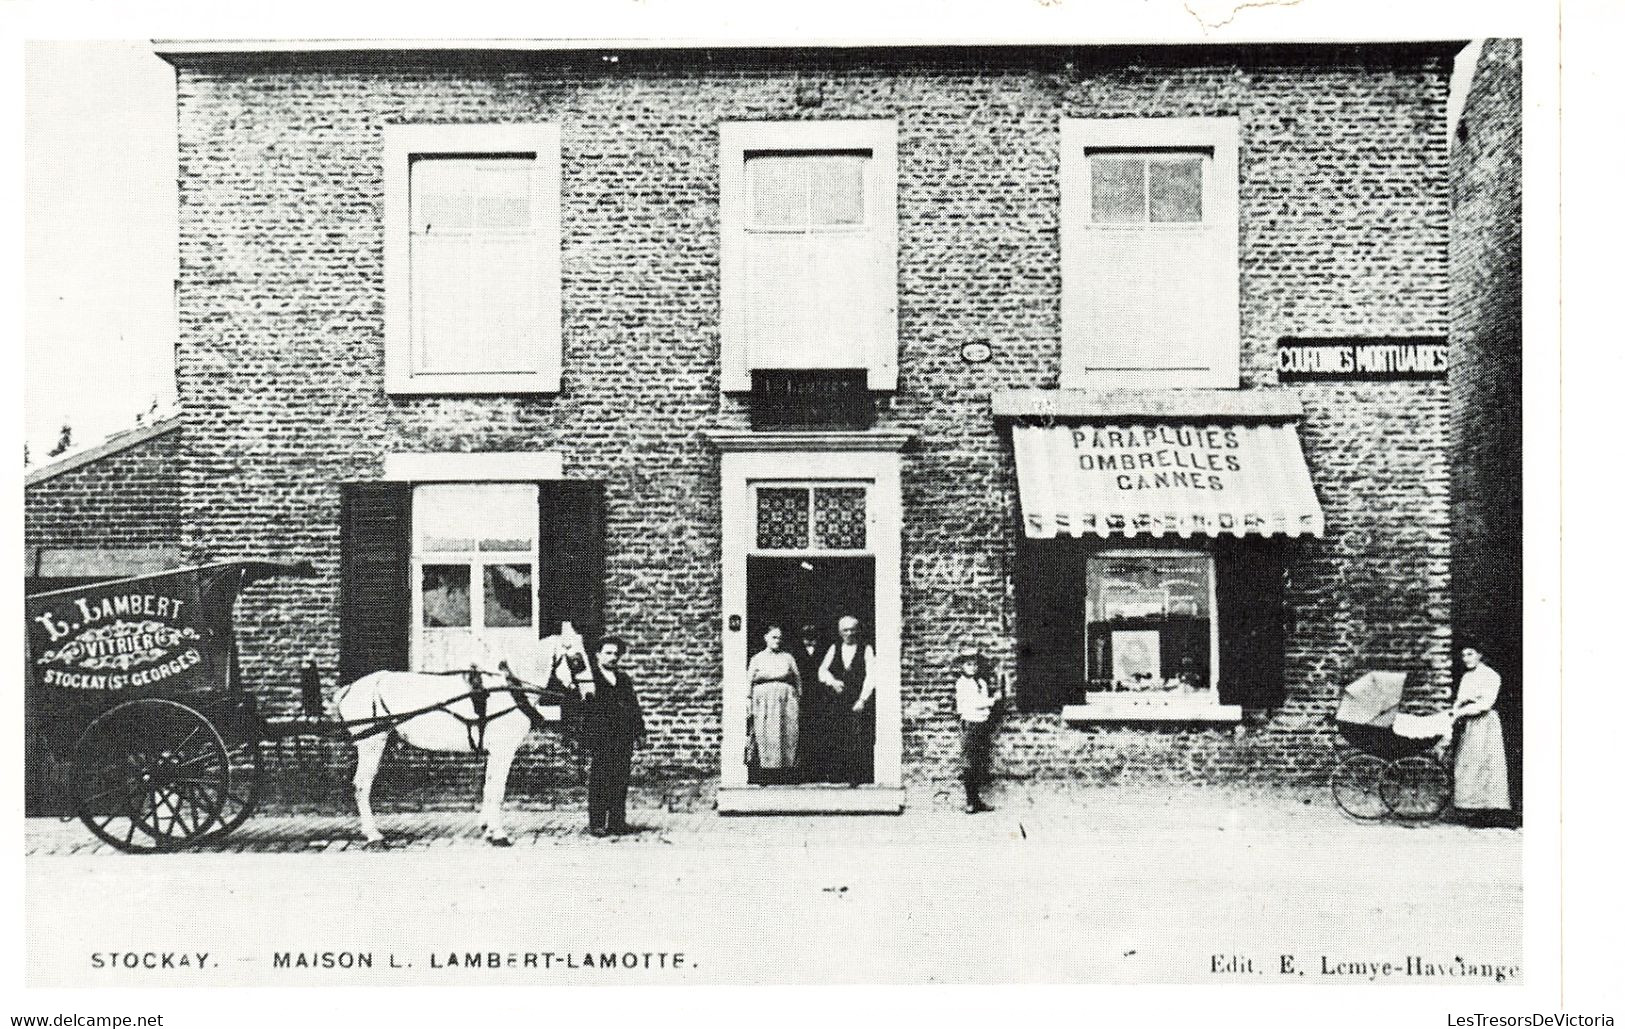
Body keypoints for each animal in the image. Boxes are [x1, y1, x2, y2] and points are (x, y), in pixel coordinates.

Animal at [333, 617, 594, 845]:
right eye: (578, 660)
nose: (591, 695)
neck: (509, 688)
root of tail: (349, 689)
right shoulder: (503, 750)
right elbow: (497, 790)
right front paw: (499, 834)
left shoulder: (495, 752)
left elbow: (489, 786)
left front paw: (488, 829)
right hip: (371, 743)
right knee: (361, 785)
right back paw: (373, 834)